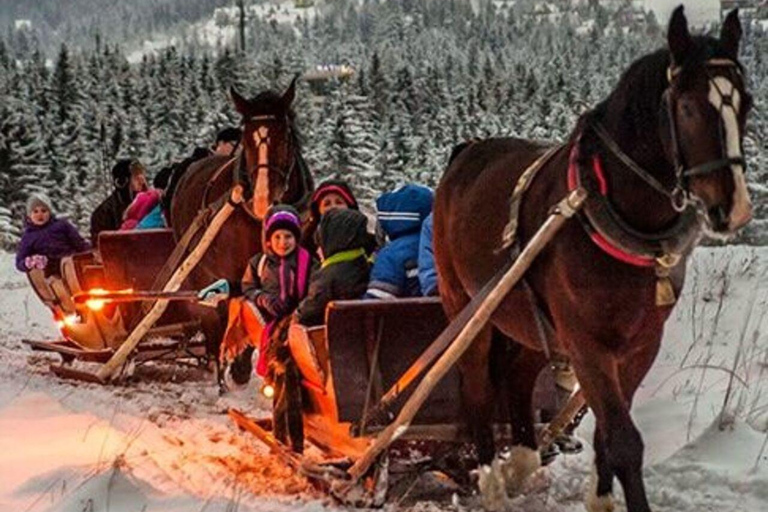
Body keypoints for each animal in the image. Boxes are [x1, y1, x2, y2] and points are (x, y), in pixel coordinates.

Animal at [170, 81, 312, 372]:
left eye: (286, 138)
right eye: (246, 141)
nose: (263, 200)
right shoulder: (236, 274)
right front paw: (239, 366)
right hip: (198, 270)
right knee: (214, 318)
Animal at [436, 8, 752, 512]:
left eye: (747, 105)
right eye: (686, 107)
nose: (734, 208)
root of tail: (466, 152)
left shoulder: (641, 344)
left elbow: (608, 433)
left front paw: (600, 496)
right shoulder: (587, 344)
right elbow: (624, 440)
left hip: (529, 319)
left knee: (518, 376)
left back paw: (522, 459)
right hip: (467, 306)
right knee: (478, 384)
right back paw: (491, 481)